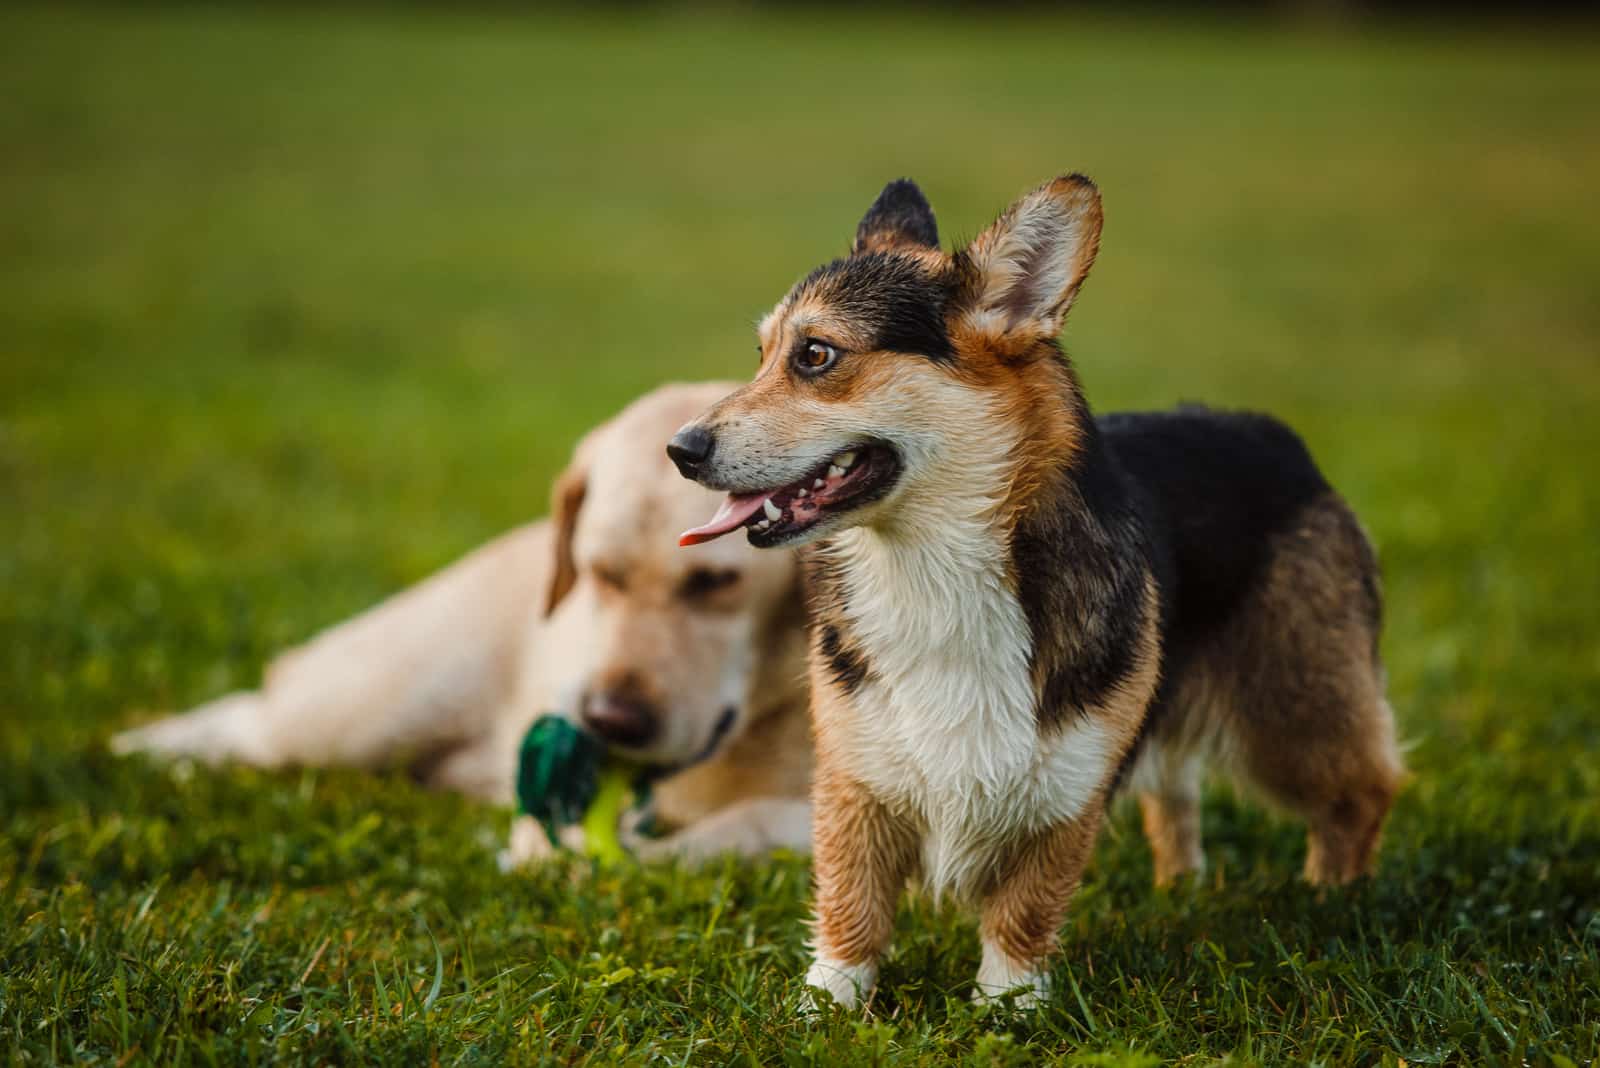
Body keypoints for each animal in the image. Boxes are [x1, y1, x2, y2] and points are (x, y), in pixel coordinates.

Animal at [112, 378, 812, 863]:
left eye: (715, 581)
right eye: (596, 574)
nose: (608, 721)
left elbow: (759, 818)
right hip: (360, 712)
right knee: (254, 712)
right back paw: (141, 748)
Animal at [668, 177, 1408, 1010]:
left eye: (816, 355)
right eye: (762, 355)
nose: (680, 449)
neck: (932, 566)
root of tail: (1284, 441)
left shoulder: (1067, 788)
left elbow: (1024, 913)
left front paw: (1008, 1008)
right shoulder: (856, 777)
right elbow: (849, 906)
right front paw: (827, 1007)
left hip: (1294, 709)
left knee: (1364, 791)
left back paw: (1336, 901)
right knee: (1177, 796)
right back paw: (1184, 890)